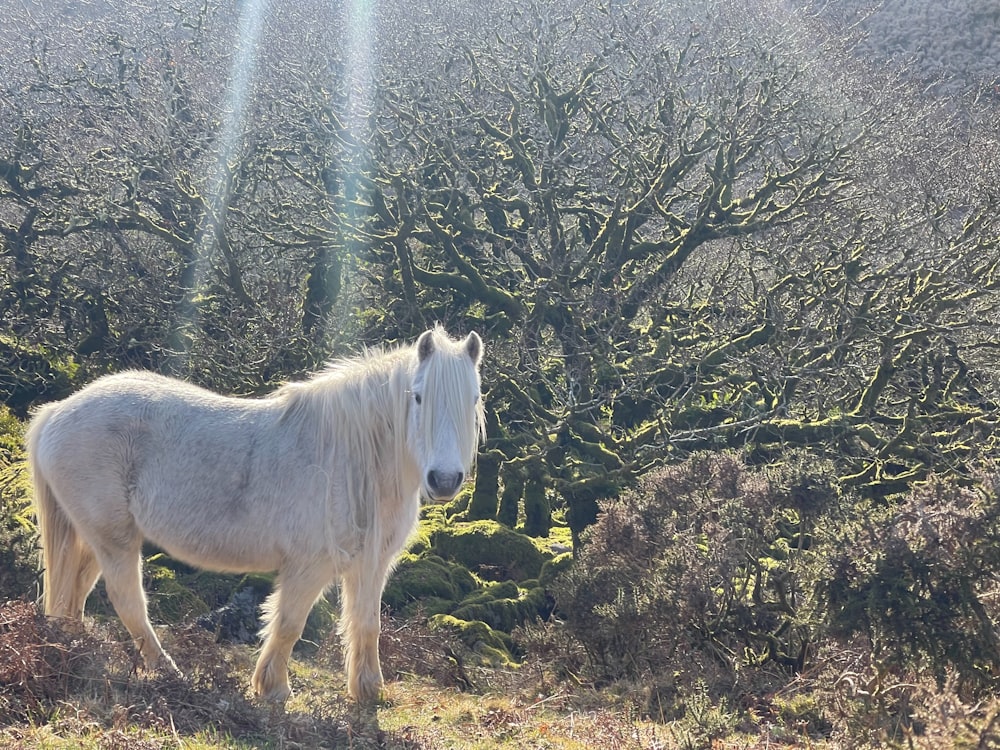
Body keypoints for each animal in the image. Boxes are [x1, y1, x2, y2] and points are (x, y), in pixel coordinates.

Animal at [26, 328, 484, 704]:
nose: (444, 479)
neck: (352, 458)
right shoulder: (309, 566)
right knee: (127, 601)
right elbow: (288, 624)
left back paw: (75, 651)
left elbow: (366, 623)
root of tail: (57, 411)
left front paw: (368, 691)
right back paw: (168, 673)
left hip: (93, 538)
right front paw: (273, 689)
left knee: (74, 593)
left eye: (474, 398)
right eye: (418, 396)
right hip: (114, 539)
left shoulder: (371, 565)